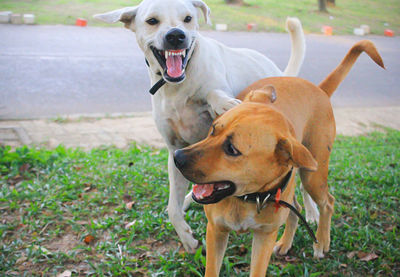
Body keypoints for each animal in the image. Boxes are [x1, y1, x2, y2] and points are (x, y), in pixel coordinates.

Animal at [94, 0, 306, 252]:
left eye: (188, 19)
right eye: (152, 21)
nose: (176, 36)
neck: (177, 87)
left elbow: (214, 93)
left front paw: (224, 103)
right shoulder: (175, 150)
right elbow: (172, 209)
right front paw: (187, 238)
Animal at [173, 40, 384, 274]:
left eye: (232, 149)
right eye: (213, 130)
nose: (177, 157)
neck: (249, 197)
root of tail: (318, 89)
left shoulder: (264, 236)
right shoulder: (216, 231)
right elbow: (212, 269)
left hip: (313, 175)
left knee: (327, 202)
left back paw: (321, 241)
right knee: (297, 208)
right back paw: (286, 243)